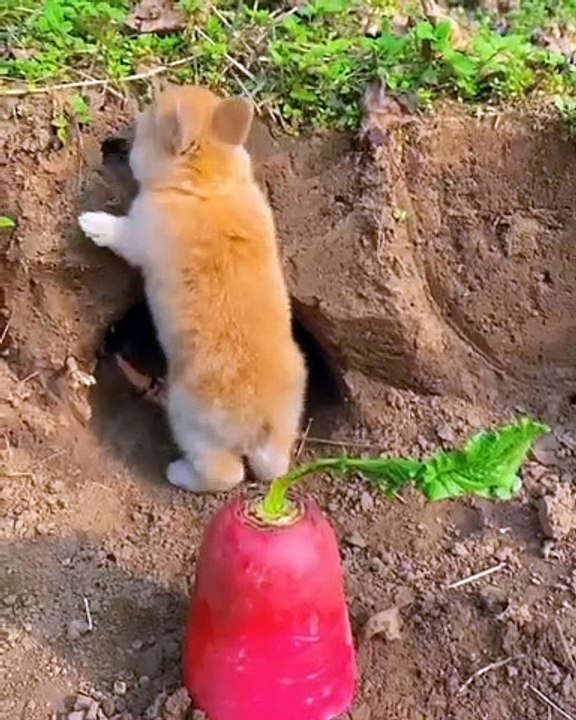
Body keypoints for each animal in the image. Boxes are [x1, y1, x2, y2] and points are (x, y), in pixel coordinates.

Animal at [79, 84, 307, 493]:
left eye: (145, 131)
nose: (124, 137)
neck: (207, 184)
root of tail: (260, 422)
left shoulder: (141, 234)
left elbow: (120, 234)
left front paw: (90, 222)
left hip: (189, 421)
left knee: (225, 474)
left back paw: (178, 472)